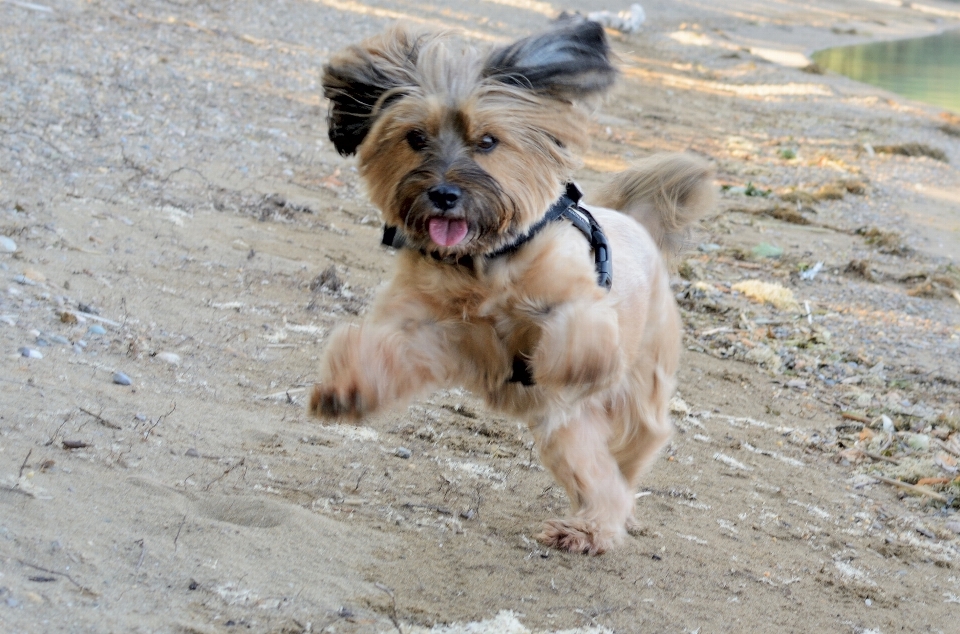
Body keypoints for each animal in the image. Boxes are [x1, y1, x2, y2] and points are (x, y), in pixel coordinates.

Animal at [312, 19, 716, 552]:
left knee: (636, 446)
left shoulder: (578, 301)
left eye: (487, 141)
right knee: (601, 480)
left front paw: (573, 363)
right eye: (415, 136)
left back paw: (595, 520)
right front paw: (347, 389)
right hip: (568, 434)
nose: (444, 194)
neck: (480, 265)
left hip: (638, 384)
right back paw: (587, 527)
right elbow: (377, 350)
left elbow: (574, 330)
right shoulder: (426, 329)